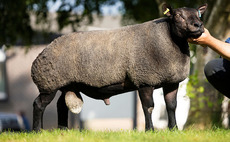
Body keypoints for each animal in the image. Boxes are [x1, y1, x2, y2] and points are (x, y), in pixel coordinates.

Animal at [31, 3, 208, 131]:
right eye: (178, 15)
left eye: (198, 14)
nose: (198, 25)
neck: (168, 40)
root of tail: (41, 54)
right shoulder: (144, 80)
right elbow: (149, 107)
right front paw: (149, 130)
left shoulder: (171, 81)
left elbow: (171, 106)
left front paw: (174, 130)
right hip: (49, 83)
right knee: (39, 104)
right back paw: (37, 131)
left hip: (66, 84)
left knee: (61, 106)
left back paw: (63, 130)